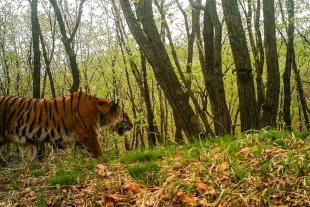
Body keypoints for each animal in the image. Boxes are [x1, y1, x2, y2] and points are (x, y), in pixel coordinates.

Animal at [0, 91, 132, 166]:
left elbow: (57, 156)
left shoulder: (60, 142)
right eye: (125, 115)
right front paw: (106, 162)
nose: (132, 125)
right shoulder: (89, 135)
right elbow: (99, 153)